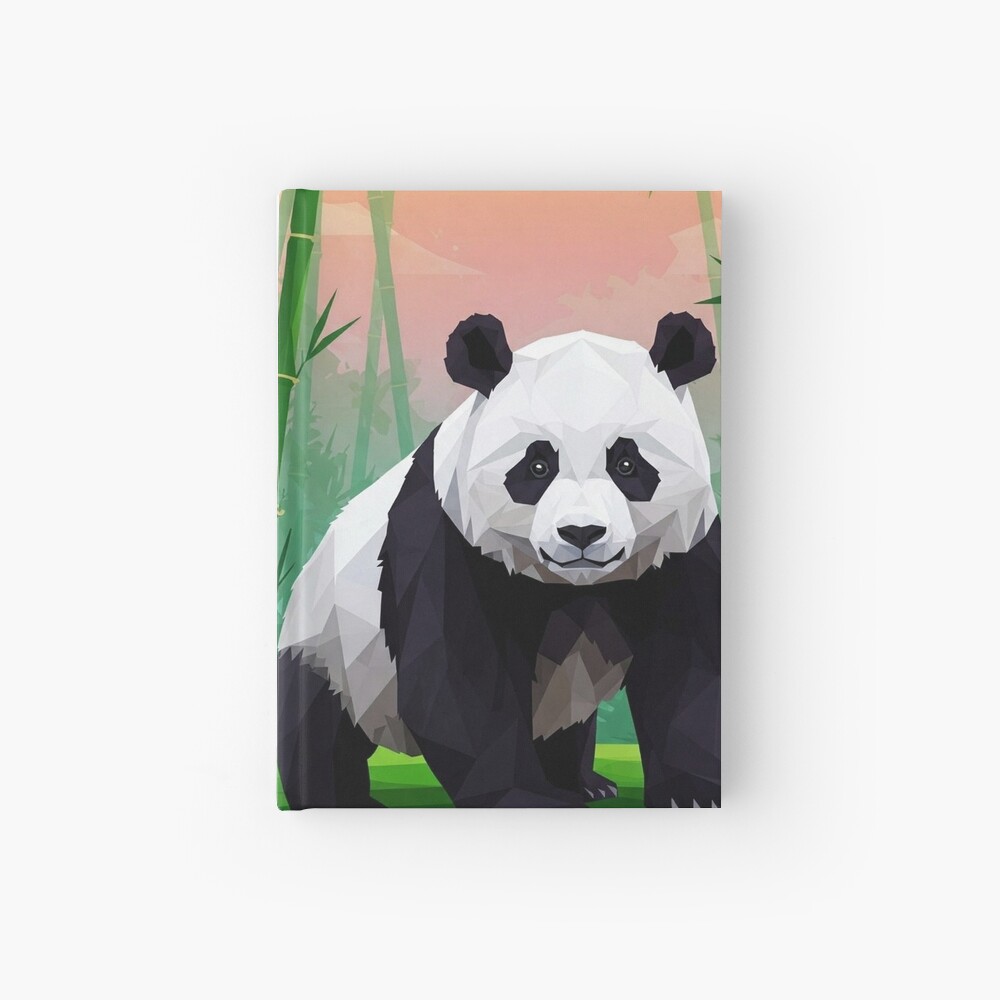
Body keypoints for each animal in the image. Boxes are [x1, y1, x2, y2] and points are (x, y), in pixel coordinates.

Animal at [278, 312, 720, 808]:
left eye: (627, 465)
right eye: (537, 467)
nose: (581, 533)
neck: (577, 585)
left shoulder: (681, 552)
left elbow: (688, 670)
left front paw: (692, 795)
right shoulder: (446, 539)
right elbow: (456, 681)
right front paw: (528, 797)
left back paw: (584, 783)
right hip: (330, 646)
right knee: (318, 720)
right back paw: (343, 797)